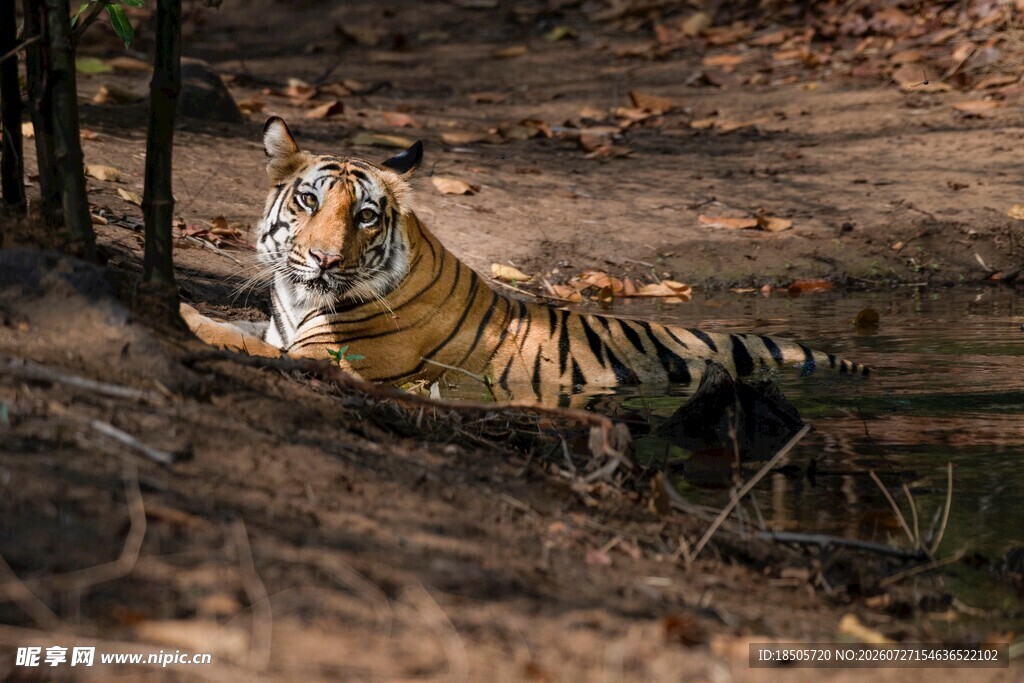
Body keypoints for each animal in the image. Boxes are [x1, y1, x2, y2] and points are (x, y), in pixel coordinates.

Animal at [182, 116, 868, 402]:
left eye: (366, 217)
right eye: (308, 200)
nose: (323, 260)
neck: (300, 300)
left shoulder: (333, 359)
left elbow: (239, 342)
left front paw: (185, 319)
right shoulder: (282, 329)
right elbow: (239, 327)